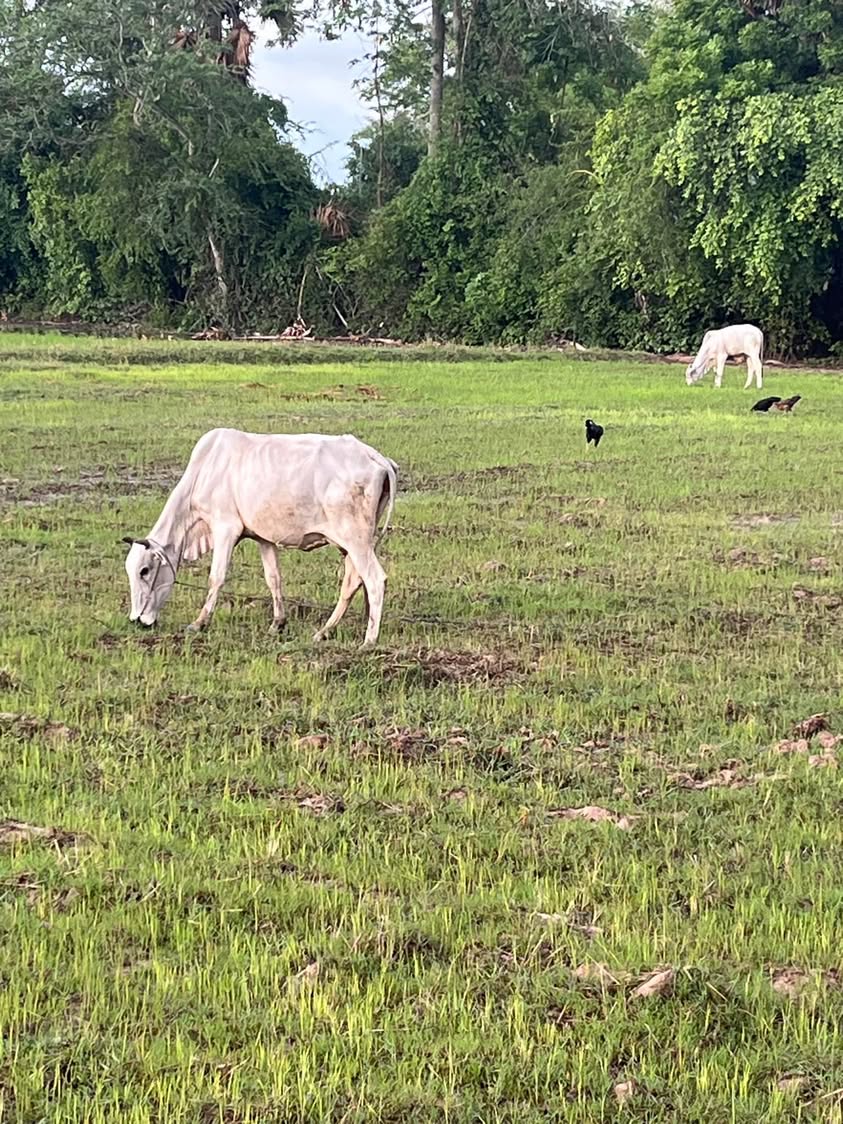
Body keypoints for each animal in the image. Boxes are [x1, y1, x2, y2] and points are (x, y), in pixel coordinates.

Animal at [123, 429, 398, 647]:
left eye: (144, 571)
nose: (137, 620)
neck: (205, 471)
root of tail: (374, 456)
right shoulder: (263, 537)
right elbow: (273, 578)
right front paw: (278, 623)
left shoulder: (225, 528)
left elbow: (216, 577)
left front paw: (199, 623)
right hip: (352, 543)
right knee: (354, 580)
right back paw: (327, 631)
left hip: (355, 539)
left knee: (374, 579)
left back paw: (369, 640)